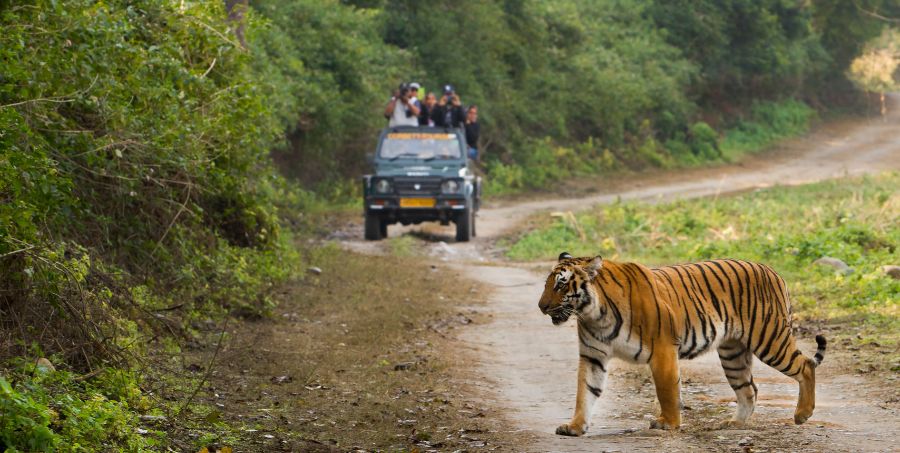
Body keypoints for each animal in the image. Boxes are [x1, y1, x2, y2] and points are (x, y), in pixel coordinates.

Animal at [538, 252, 827, 437]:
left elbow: (666, 390)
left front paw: (668, 423)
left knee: (805, 365)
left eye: (561, 285)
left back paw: (802, 414)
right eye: (547, 284)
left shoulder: (663, 348)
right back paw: (734, 424)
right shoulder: (593, 356)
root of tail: (773, 271)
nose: (541, 306)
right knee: (749, 389)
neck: (594, 313)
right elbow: (585, 392)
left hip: (769, 338)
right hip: (733, 353)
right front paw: (575, 427)